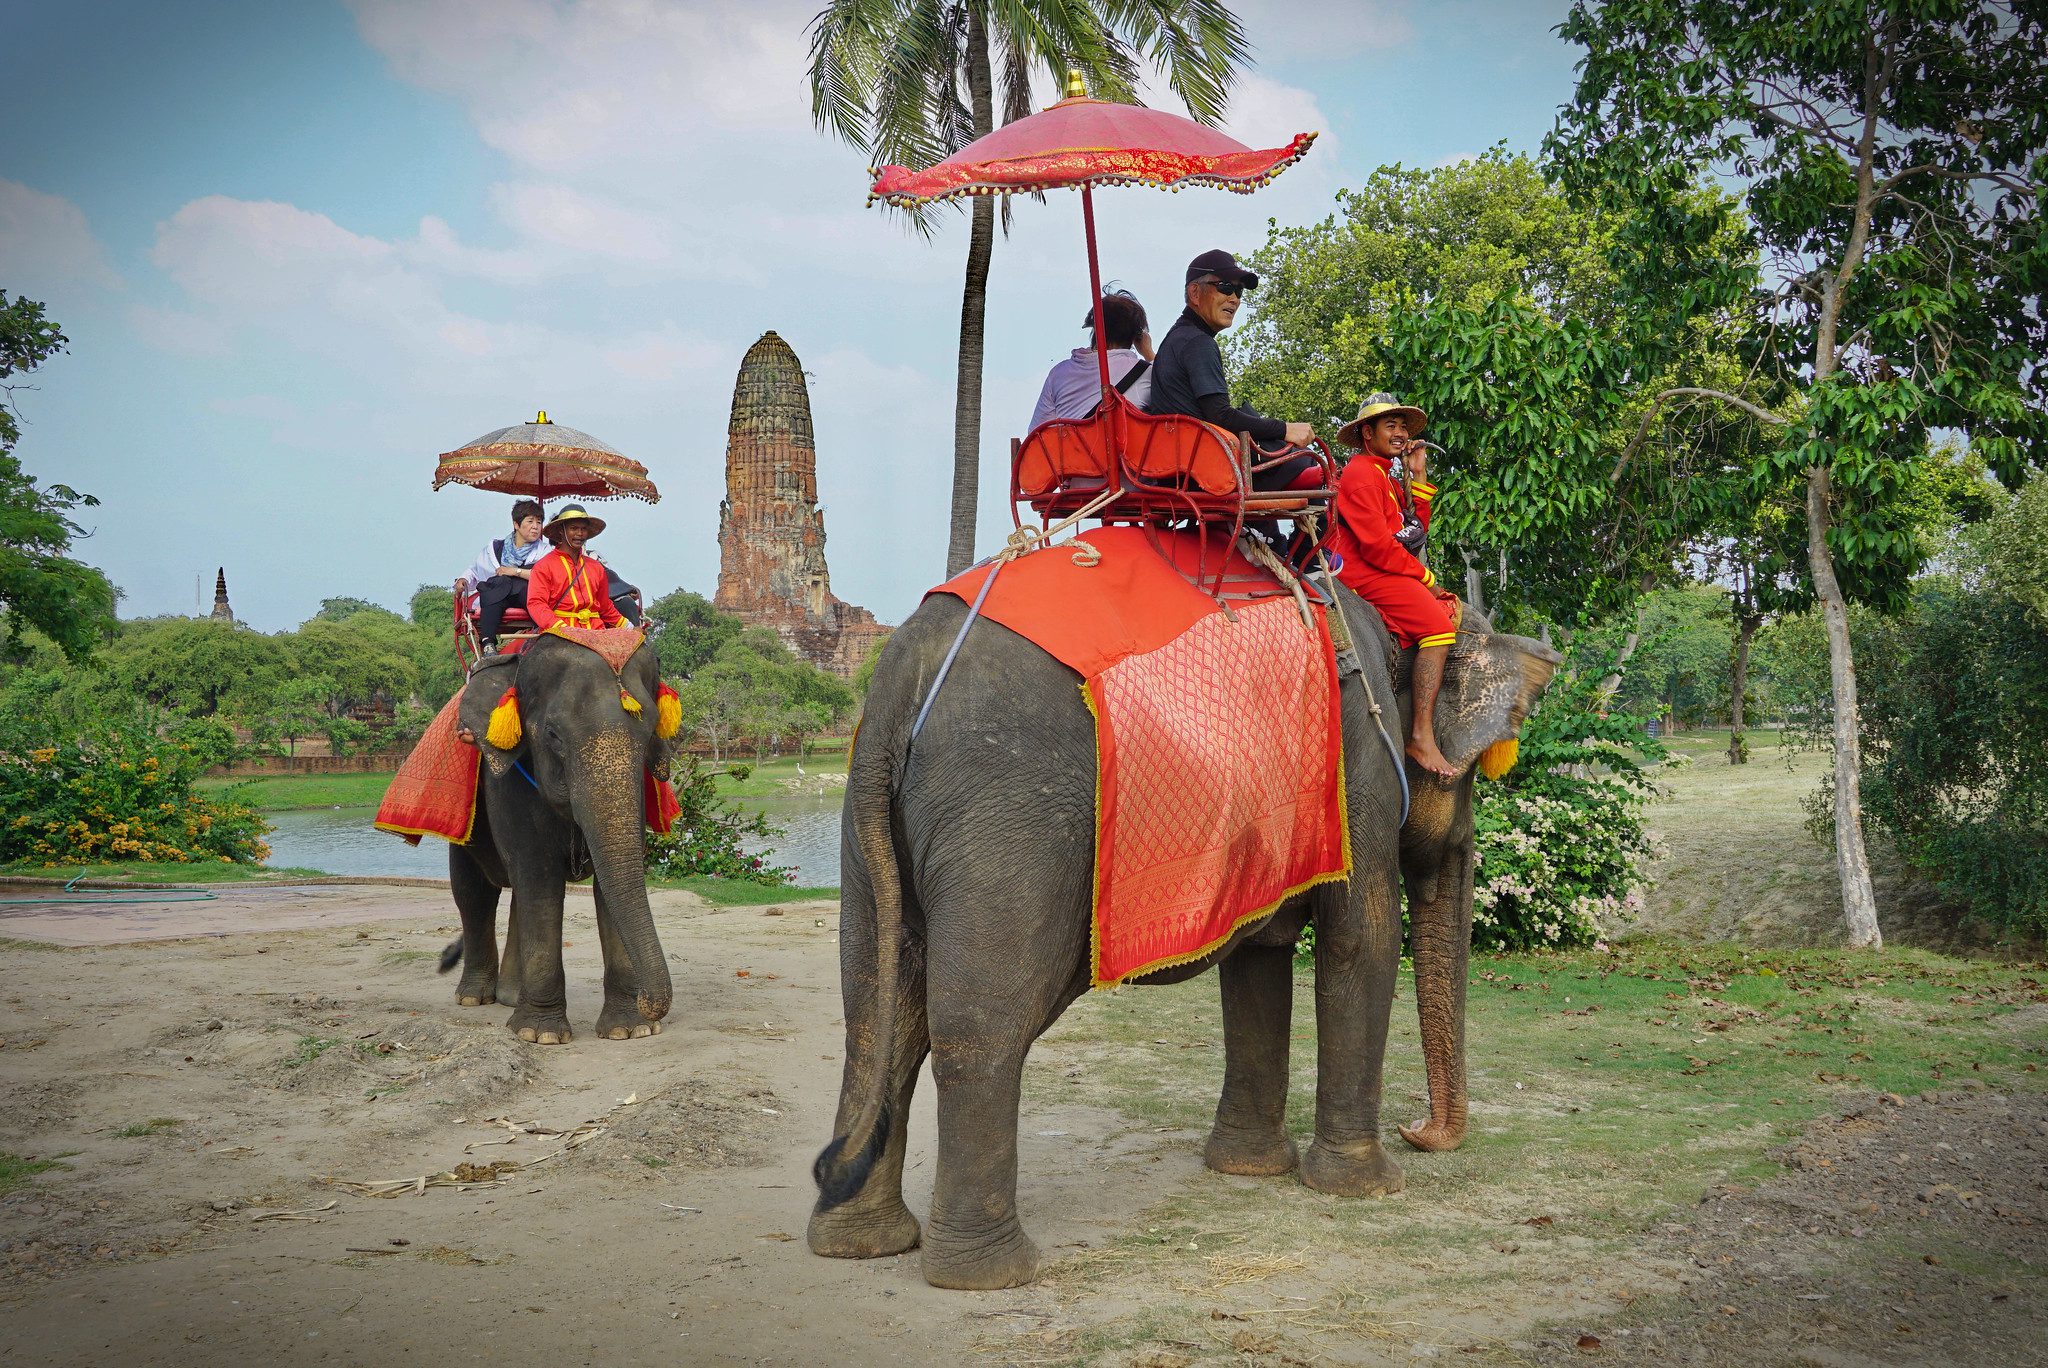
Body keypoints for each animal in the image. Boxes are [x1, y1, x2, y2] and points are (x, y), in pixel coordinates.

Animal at [436, 634, 675, 1040]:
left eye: (649, 734)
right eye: (553, 736)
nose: (649, 1001)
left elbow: (607, 886)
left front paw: (629, 1030)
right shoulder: (511, 781)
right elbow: (539, 876)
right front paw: (540, 1034)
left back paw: (511, 997)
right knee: (474, 891)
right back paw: (474, 997)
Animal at [806, 581, 1556, 1286]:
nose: (1417, 1131)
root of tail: (894, 692)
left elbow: (1259, 955)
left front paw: (1248, 1169)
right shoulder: (1360, 766)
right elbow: (1361, 942)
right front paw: (1366, 1188)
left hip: (868, 830)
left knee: (877, 1011)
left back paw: (858, 1242)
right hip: (1008, 817)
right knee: (980, 1024)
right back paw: (988, 1273)